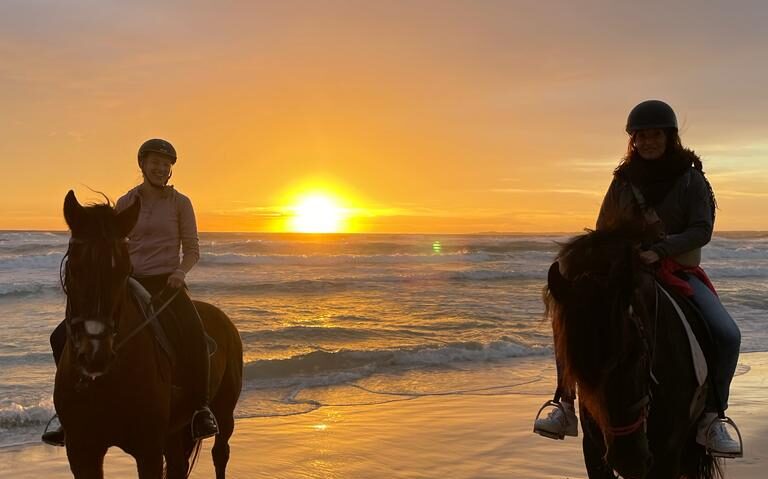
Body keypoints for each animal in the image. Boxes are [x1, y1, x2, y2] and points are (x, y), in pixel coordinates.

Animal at [56, 192, 243, 479]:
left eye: (124, 271)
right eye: (74, 269)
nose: (95, 355)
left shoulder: (148, 450)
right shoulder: (82, 452)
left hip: (223, 411)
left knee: (219, 454)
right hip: (174, 431)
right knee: (179, 466)